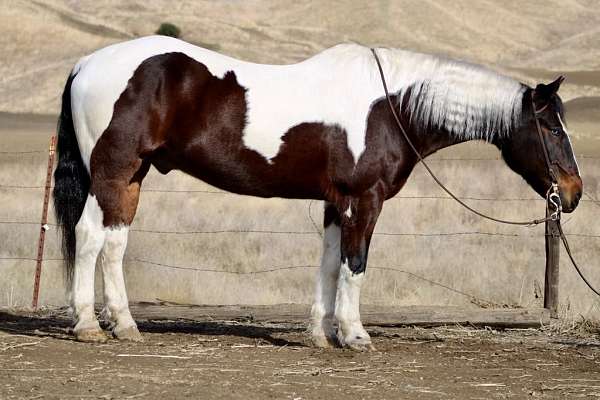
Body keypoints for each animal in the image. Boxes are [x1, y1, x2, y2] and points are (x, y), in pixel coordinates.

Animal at [52, 36, 580, 350]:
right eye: (552, 128)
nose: (573, 193)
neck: (389, 108)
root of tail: (85, 63)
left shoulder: (335, 202)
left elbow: (329, 263)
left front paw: (320, 334)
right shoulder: (365, 199)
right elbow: (356, 264)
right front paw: (355, 335)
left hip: (131, 178)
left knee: (114, 242)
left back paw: (124, 325)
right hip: (113, 172)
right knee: (90, 236)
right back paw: (87, 326)